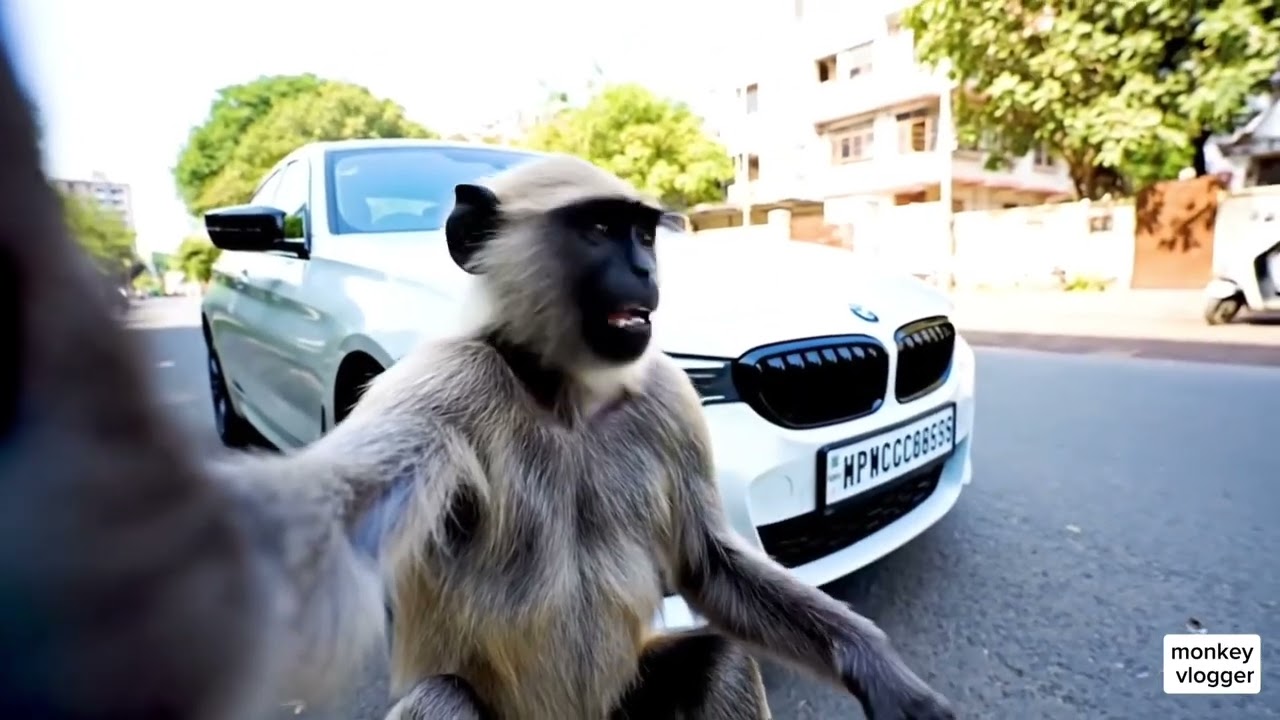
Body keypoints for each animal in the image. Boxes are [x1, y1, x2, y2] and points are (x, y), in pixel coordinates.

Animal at [0, 28, 955, 720]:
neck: (566, 394)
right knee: (440, 700)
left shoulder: (661, 396)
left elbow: (707, 564)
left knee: (719, 659)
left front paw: (881, 671)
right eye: (601, 230)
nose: (648, 269)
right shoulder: (444, 383)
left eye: (644, 231)